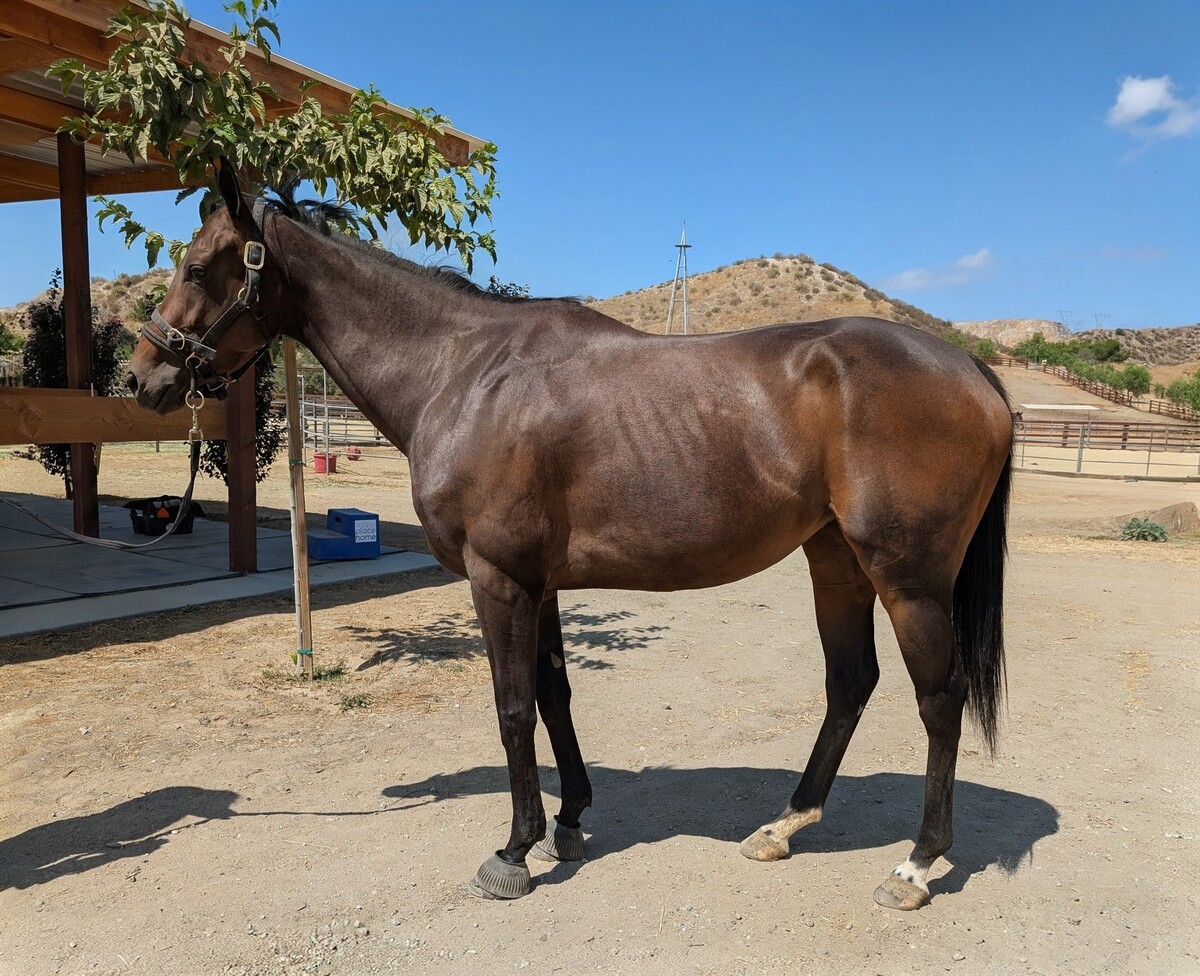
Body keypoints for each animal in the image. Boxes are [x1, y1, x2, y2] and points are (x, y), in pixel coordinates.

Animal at [127, 163, 1014, 910]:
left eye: (199, 267)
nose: (142, 377)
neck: (464, 373)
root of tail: (970, 367)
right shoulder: (541, 581)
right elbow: (554, 695)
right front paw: (570, 822)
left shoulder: (498, 578)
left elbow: (513, 706)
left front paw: (514, 851)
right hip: (835, 561)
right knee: (850, 684)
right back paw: (784, 826)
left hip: (907, 578)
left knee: (939, 700)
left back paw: (916, 865)